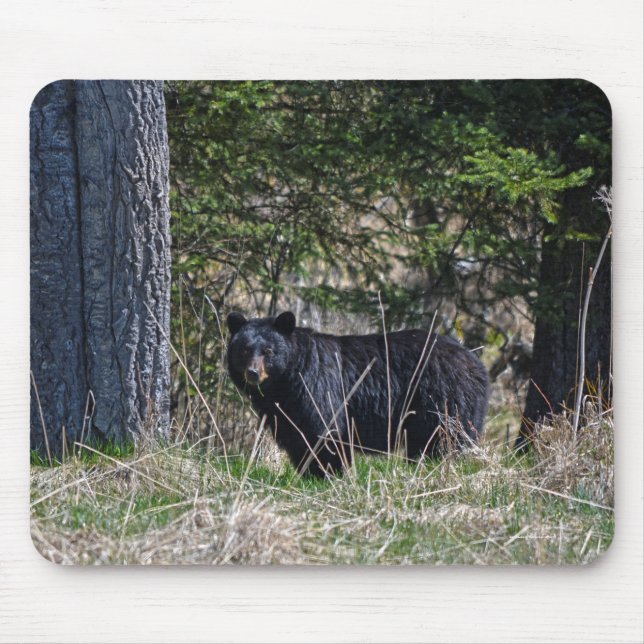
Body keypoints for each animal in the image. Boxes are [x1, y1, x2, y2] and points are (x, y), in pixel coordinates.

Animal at [226, 311, 488, 478]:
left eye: (269, 351)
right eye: (245, 349)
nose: (252, 373)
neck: (287, 381)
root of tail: (477, 364)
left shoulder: (319, 389)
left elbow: (325, 433)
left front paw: (328, 475)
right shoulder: (286, 412)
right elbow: (298, 439)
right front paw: (309, 473)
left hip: (443, 401)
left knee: (440, 441)